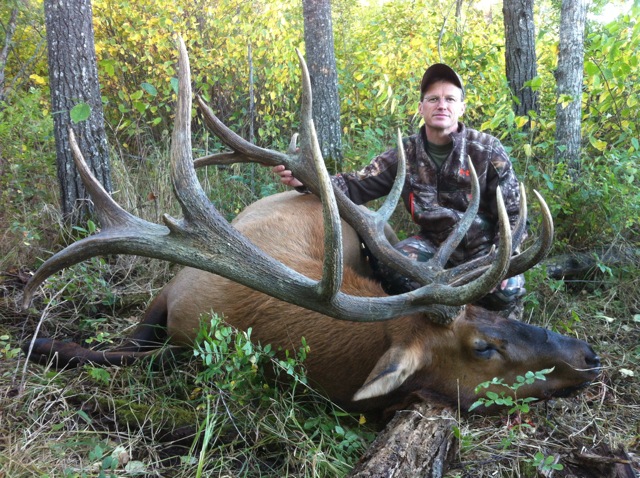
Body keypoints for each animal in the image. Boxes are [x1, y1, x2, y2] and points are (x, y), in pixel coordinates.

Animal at [22, 39, 600, 415]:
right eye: (482, 346)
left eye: (488, 308)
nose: (588, 355)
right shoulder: (168, 293)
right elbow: (113, 350)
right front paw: (43, 341)